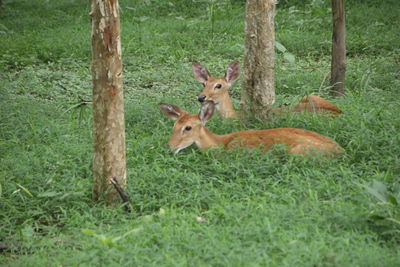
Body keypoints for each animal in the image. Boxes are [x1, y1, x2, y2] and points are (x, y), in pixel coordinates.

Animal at [192, 61, 342, 119]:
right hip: (310, 96)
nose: (201, 97)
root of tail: (339, 112)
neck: (235, 115)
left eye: (218, 85)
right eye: (204, 84)